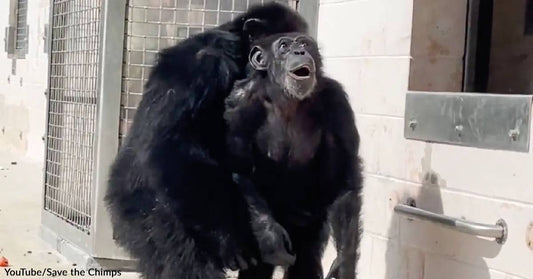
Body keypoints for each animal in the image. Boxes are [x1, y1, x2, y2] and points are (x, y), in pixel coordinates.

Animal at [104, 3, 310, 279]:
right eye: (284, 45)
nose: (302, 56)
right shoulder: (199, 67)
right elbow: (173, 144)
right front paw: (227, 241)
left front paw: (269, 233)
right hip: (146, 216)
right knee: (184, 258)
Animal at [222, 33, 364, 279]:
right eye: (284, 46)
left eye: (305, 43)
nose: (299, 51)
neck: (286, 98)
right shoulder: (239, 103)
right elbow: (238, 167)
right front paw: (270, 238)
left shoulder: (337, 101)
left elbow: (345, 179)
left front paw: (344, 262)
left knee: (307, 260)